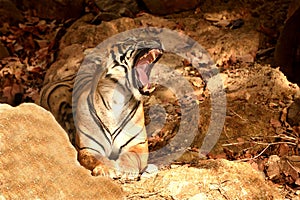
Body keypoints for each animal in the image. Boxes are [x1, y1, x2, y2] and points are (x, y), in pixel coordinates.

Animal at [72, 36, 163, 180]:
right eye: (131, 40)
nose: (157, 38)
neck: (118, 100)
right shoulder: (88, 148)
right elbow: (98, 158)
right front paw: (107, 169)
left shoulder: (137, 144)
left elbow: (130, 156)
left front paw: (126, 169)